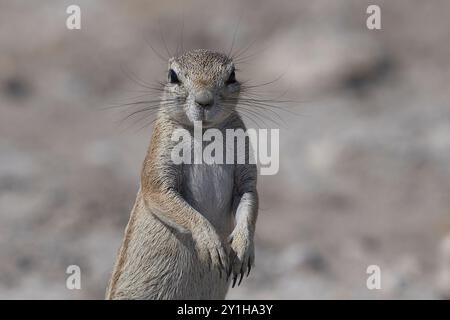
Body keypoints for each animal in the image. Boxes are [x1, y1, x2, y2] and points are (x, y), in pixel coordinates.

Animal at [105, 48, 258, 298]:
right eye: (173, 76)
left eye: (232, 75)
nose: (204, 100)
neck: (204, 134)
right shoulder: (158, 162)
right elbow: (166, 197)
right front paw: (211, 242)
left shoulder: (244, 164)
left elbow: (249, 196)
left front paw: (242, 247)